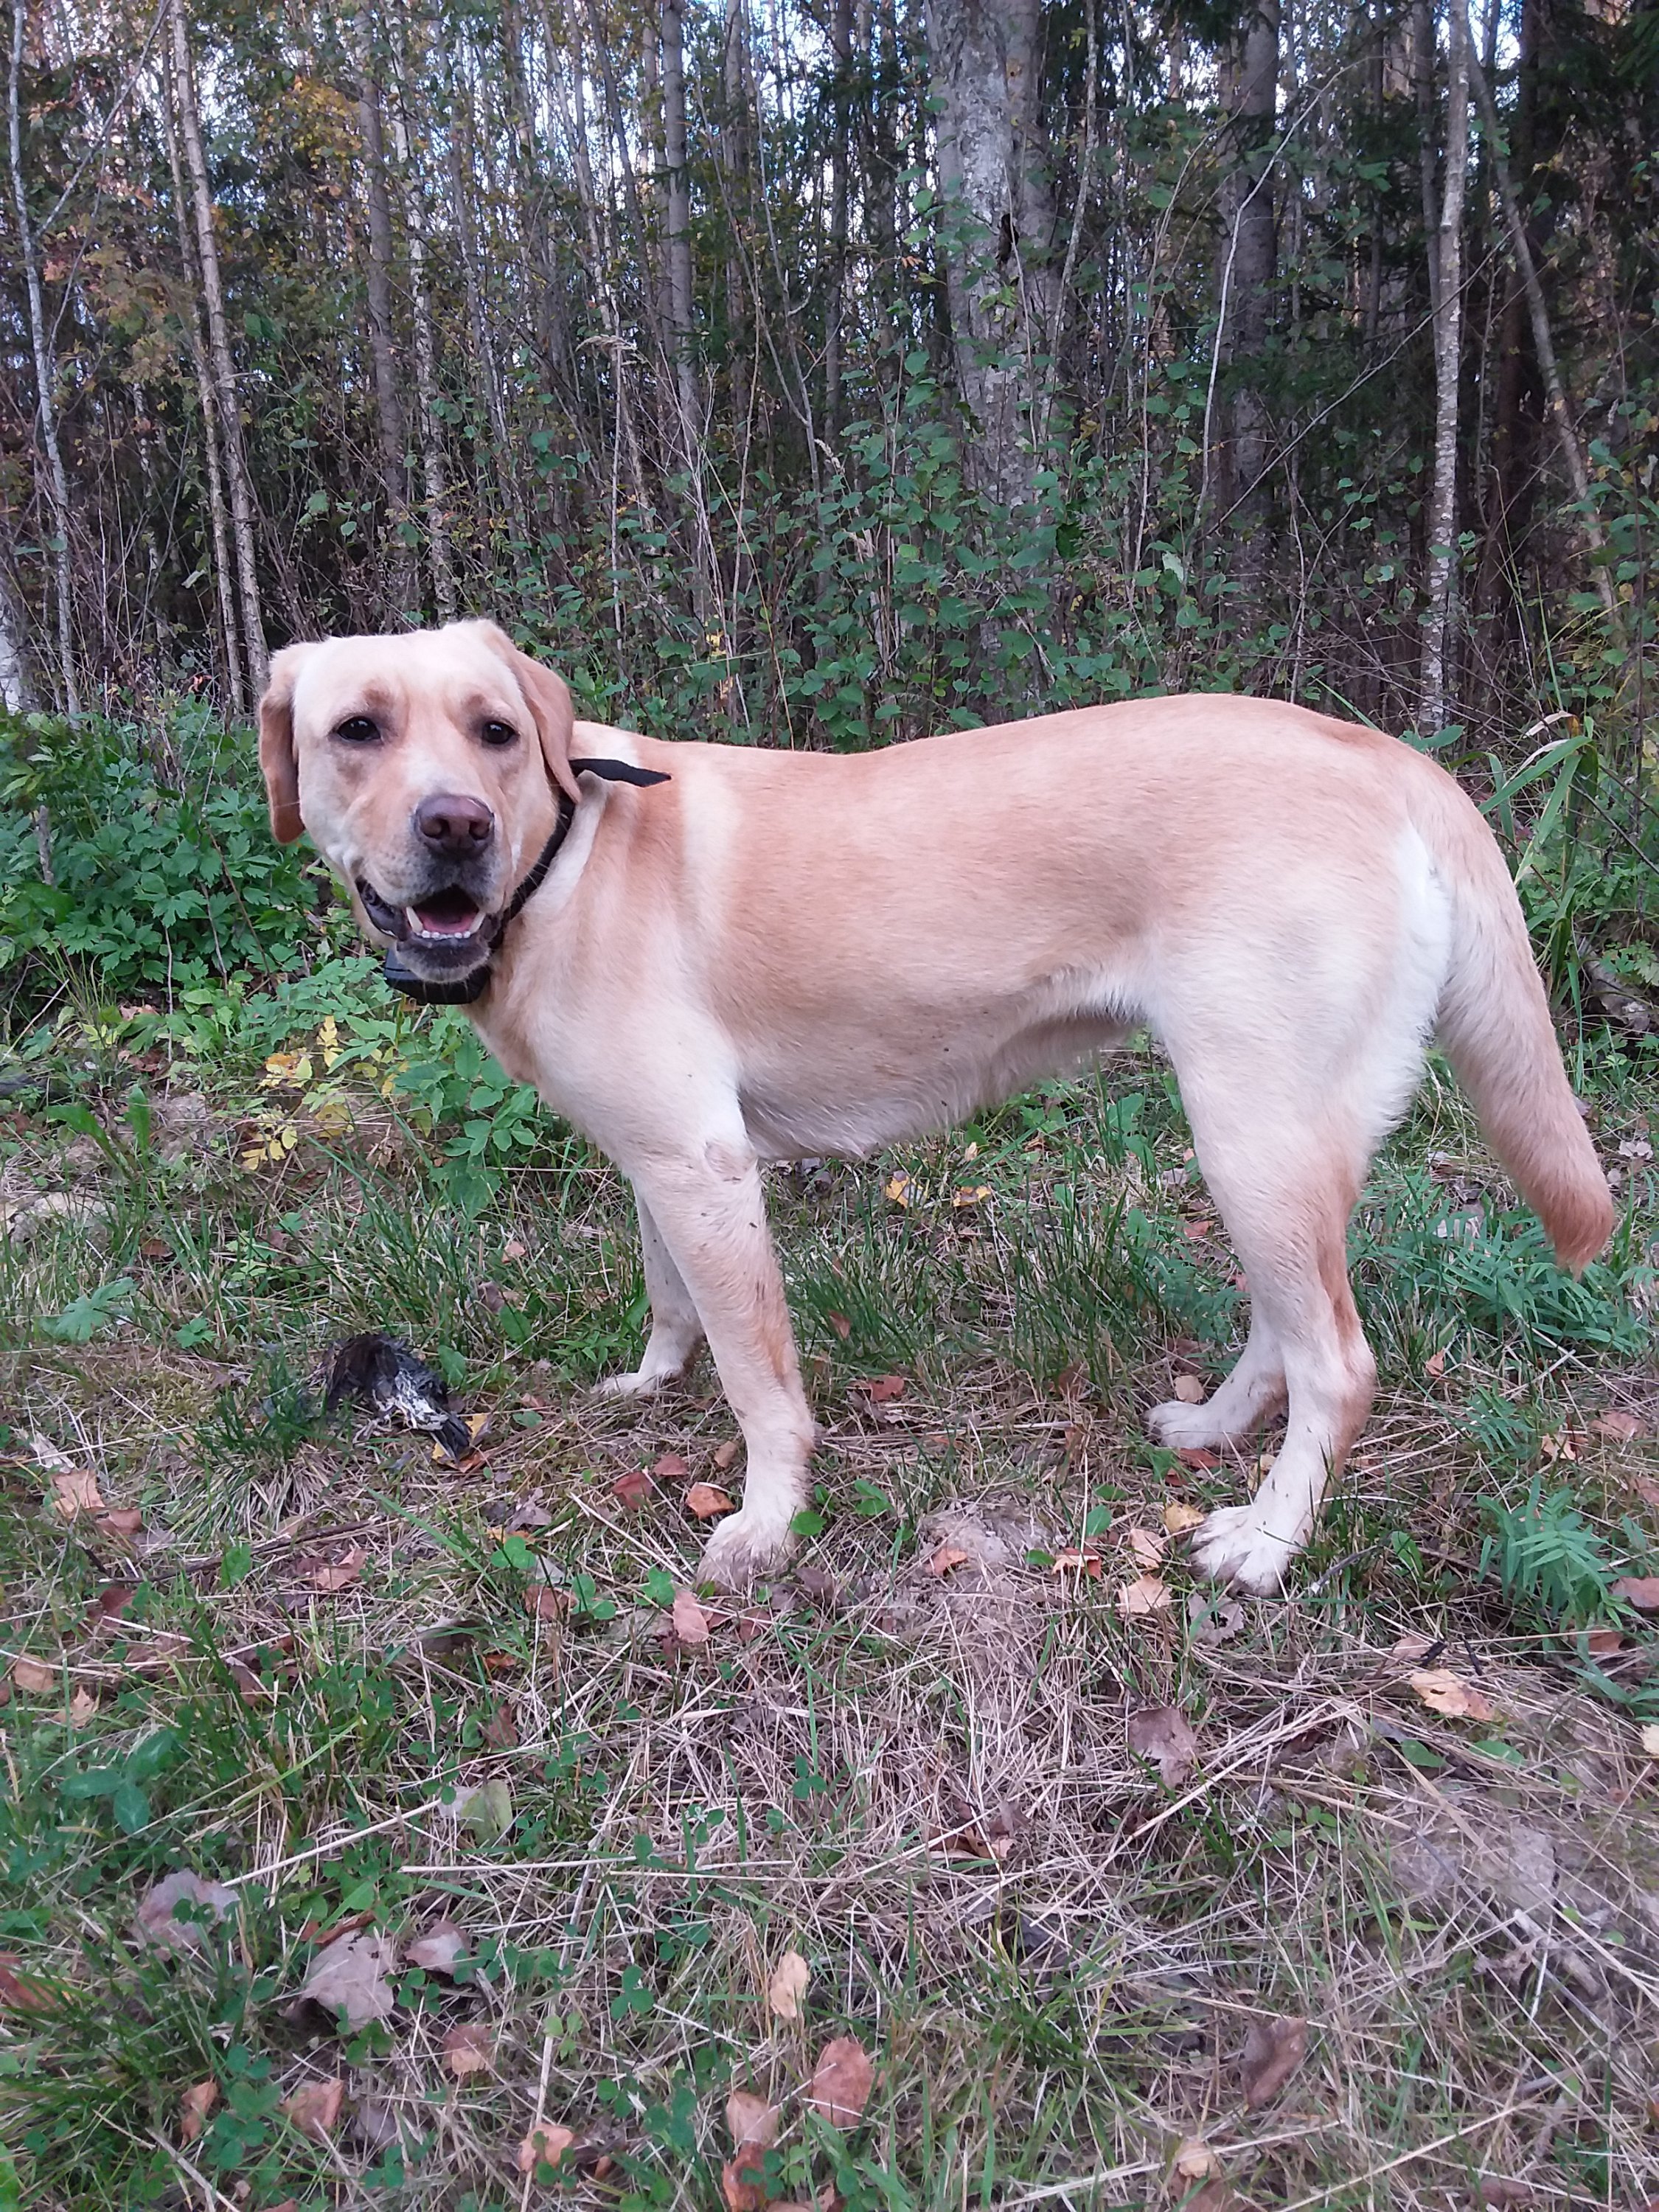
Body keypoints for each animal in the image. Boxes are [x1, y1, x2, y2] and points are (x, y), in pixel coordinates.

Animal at [258, 618, 1613, 1592]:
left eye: (493, 731)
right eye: (358, 729)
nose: (455, 826)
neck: (565, 852)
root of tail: (1379, 751)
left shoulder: (704, 1169)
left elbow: (759, 1380)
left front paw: (767, 1523)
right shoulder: (657, 1160)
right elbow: (668, 1296)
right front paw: (649, 1383)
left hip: (1252, 1134)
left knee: (1338, 1361)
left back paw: (1267, 1543)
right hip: (1271, 1144)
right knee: (1289, 1330)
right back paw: (1215, 1430)